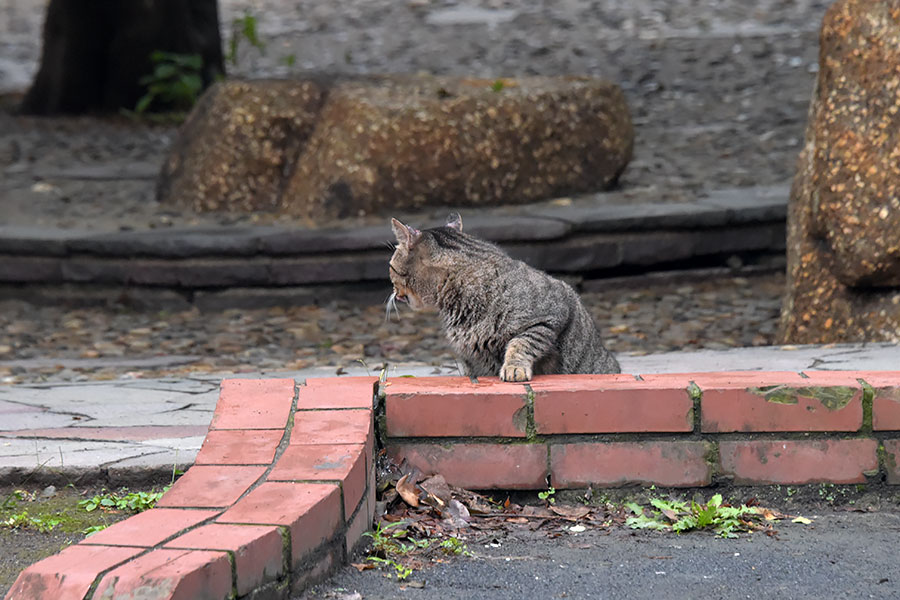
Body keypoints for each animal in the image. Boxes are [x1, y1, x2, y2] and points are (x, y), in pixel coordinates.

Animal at [384, 214, 624, 380]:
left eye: (391, 267)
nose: (393, 289)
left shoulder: (549, 317)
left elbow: (521, 342)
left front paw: (514, 368)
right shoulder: (471, 359)